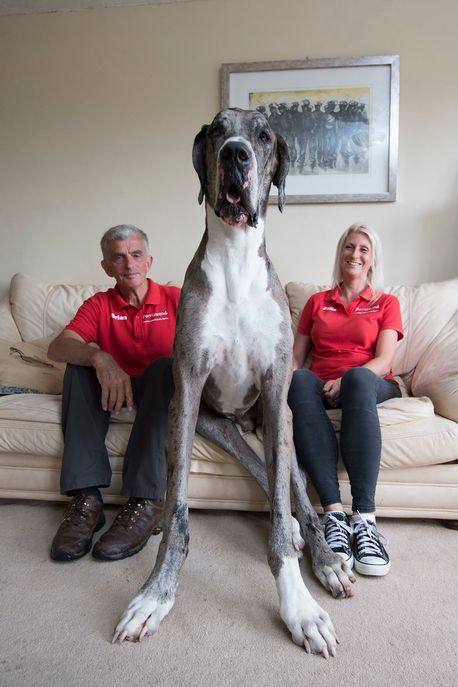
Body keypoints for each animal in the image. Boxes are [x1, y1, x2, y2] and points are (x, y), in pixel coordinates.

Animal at [113, 109, 354, 660]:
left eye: (263, 136)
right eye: (218, 131)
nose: (236, 155)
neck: (236, 261)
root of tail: (244, 421)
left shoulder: (276, 388)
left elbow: (285, 506)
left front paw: (300, 607)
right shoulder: (186, 393)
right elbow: (177, 512)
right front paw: (155, 595)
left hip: (279, 419)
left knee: (295, 485)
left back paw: (324, 555)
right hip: (216, 425)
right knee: (264, 473)